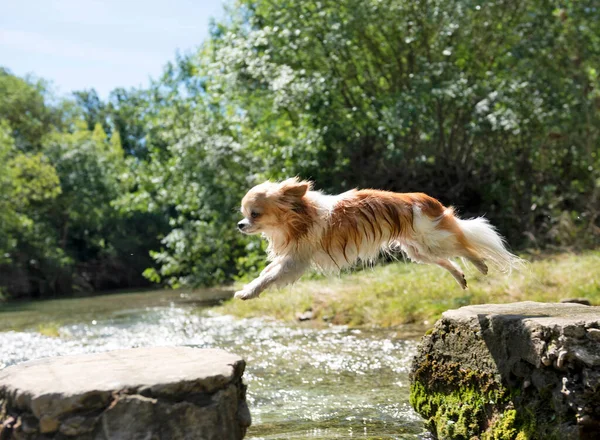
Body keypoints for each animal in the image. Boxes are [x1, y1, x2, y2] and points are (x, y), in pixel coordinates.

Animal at [234, 177, 520, 300]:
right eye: (244, 214)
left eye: (255, 214)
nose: (240, 225)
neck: (300, 214)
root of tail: (428, 201)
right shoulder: (291, 256)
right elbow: (266, 272)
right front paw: (250, 286)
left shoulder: (295, 261)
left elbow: (269, 276)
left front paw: (248, 292)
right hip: (419, 250)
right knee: (447, 261)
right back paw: (460, 277)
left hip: (433, 239)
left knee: (465, 246)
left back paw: (480, 264)